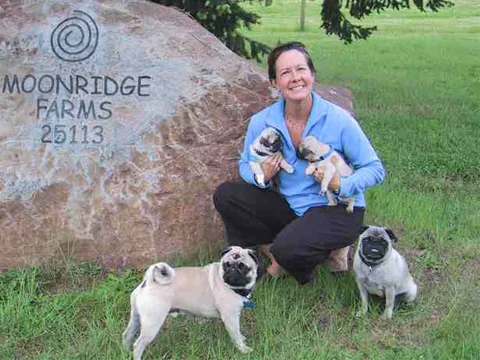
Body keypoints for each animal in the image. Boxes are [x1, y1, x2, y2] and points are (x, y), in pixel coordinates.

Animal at [123, 246, 258, 358]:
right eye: (226, 265)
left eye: (243, 267)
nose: (232, 270)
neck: (233, 287)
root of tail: (149, 281)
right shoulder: (231, 318)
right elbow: (235, 334)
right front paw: (243, 349)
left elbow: (238, 333)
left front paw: (242, 339)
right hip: (152, 323)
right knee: (138, 345)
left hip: (136, 318)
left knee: (127, 335)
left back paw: (126, 351)